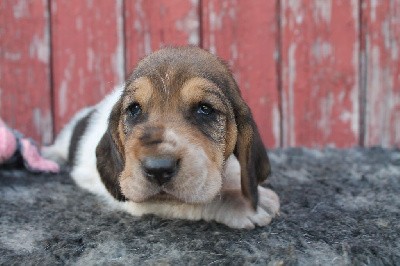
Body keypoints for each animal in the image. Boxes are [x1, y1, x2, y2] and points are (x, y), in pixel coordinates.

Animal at [43, 46, 278, 229]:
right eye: (134, 109)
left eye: (205, 109)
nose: (158, 168)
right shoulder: (138, 195)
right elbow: (197, 200)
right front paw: (240, 201)